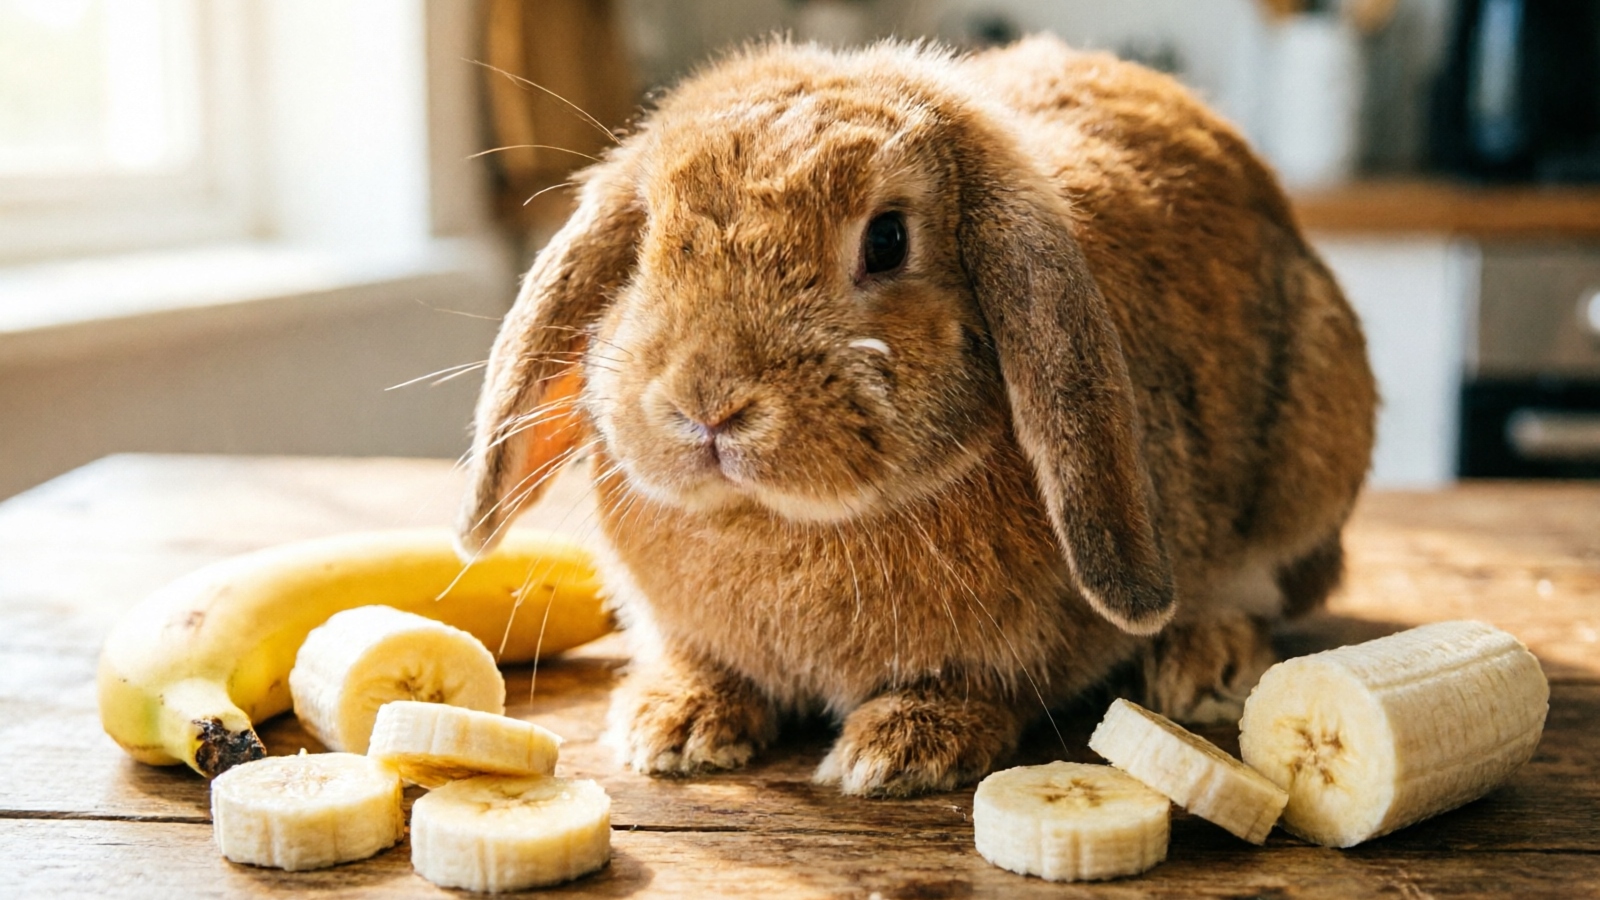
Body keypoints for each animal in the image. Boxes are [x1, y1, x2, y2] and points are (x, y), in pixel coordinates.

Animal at [455, 35, 1377, 798]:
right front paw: (673, 725)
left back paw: (1203, 665)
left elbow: (982, 686)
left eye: (888, 239)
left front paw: (899, 750)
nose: (708, 403)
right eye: (646, 237)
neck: (781, 522)